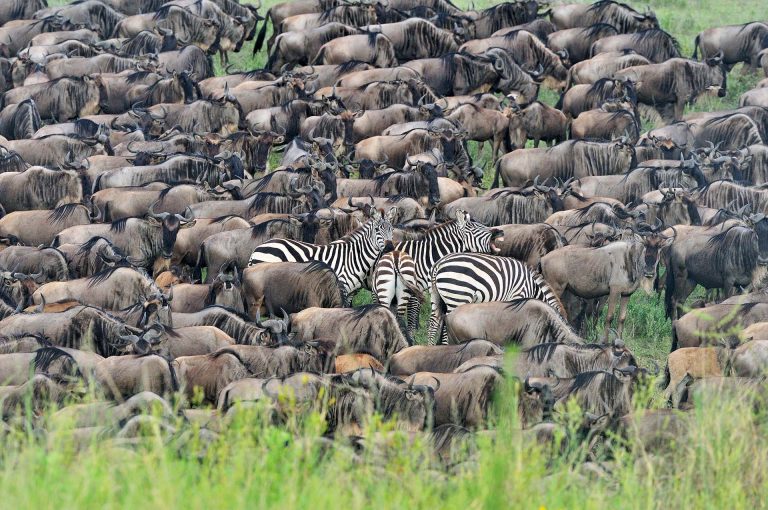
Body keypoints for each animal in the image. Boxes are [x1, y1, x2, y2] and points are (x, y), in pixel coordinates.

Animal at [249, 209, 396, 300]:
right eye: (377, 229)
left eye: (392, 229)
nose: (389, 247)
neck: (351, 257)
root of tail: (258, 248)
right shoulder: (341, 287)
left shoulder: (349, 292)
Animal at [426, 253, 564, 344]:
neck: (533, 287)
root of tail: (438, 264)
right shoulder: (518, 296)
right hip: (457, 296)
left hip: (435, 296)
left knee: (433, 322)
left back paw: (431, 346)